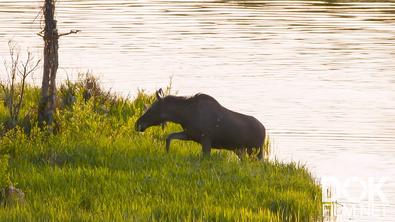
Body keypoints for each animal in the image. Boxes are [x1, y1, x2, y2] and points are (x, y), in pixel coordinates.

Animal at [135, 88, 268, 160]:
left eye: (151, 109)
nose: (137, 124)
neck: (183, 116)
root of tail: (264, 130)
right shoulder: (190, 134)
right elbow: (169, 137)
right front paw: (166, 153)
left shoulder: (206, 139)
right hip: (243, 151)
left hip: (257, 150)